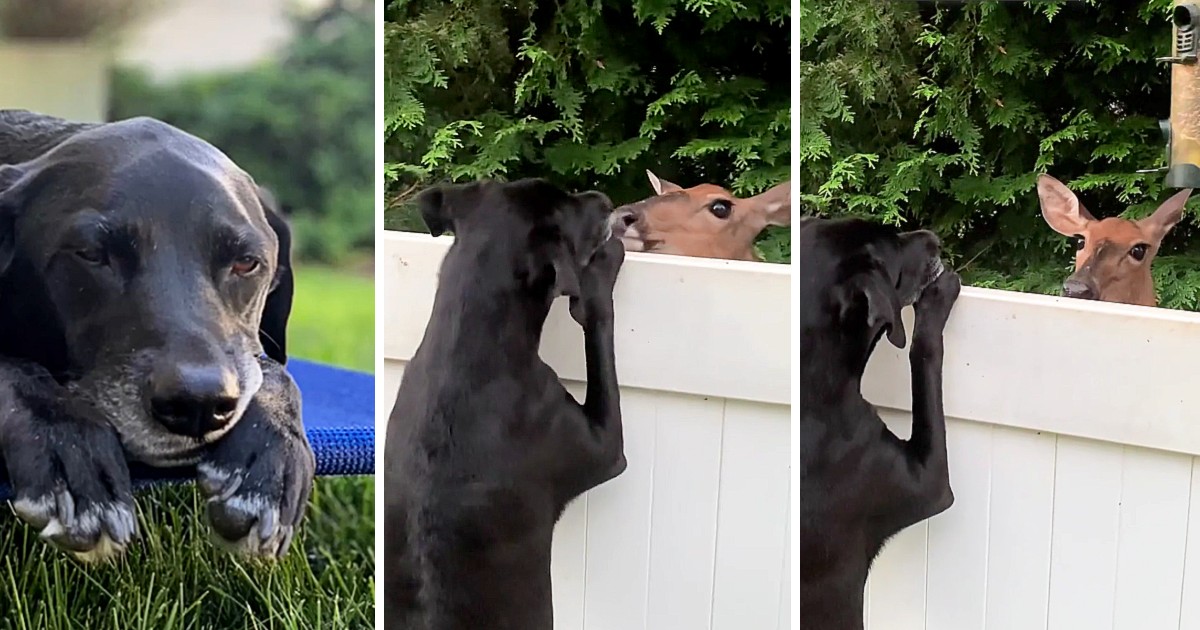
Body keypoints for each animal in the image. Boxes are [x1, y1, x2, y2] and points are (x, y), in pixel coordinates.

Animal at [0, 109, 314, 559]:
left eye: (247, 263)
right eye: (91, 254)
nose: (199, 404)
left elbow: (275, 371)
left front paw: (271, 459)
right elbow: (15, 369)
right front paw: (68, 440)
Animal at [384, 176, 628, 628]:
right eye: (567, 209)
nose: (604, 200)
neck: (466, 341)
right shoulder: (605, 449)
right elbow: (598, 326)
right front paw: (600, 275)